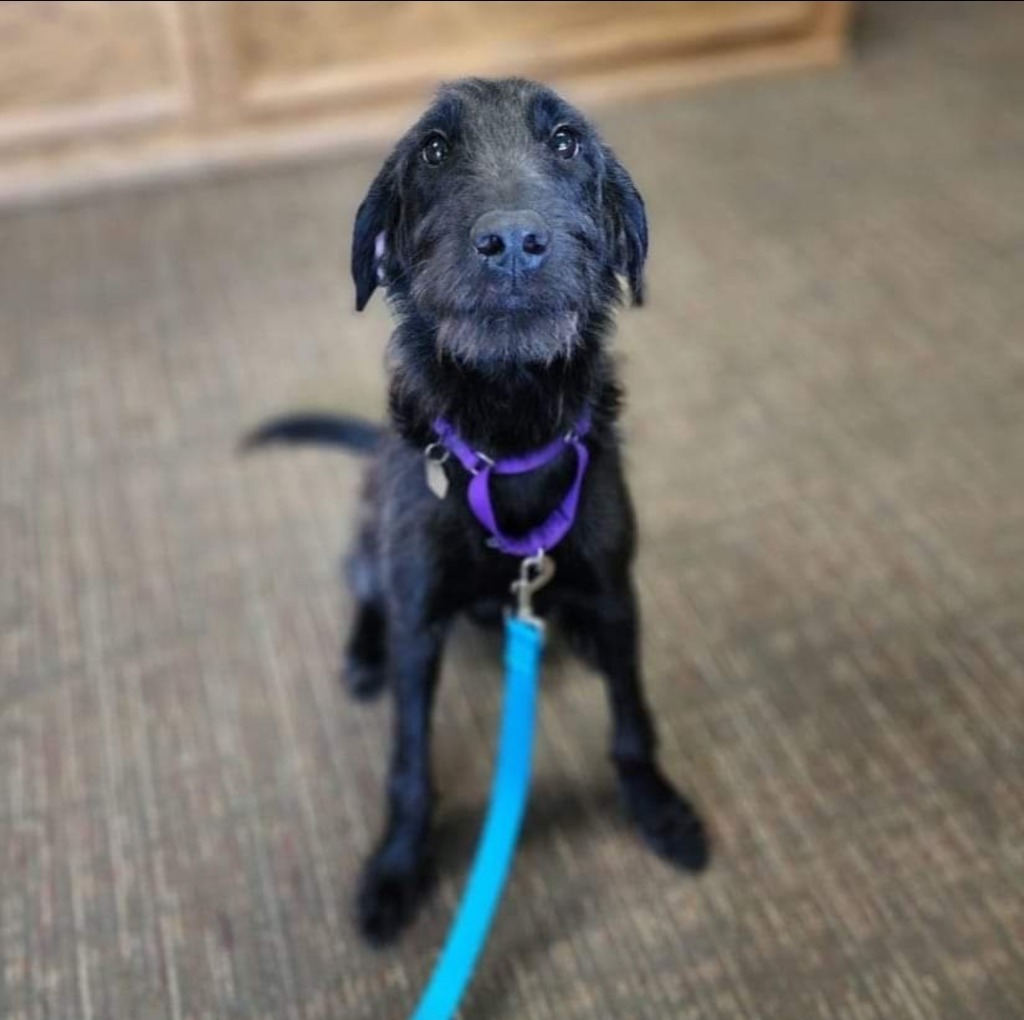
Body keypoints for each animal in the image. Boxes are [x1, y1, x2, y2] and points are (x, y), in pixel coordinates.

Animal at [251, 79, 708, 946]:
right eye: (433, 151)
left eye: (566, 142)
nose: (515, 243)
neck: (508, 433)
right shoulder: (423, 617)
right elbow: (409, 763)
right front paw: (398, 866)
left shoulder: (613, 589)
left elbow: (633, 718)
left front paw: (658, 809)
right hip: (374, 546)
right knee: (362, 588)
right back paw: (363, 655)